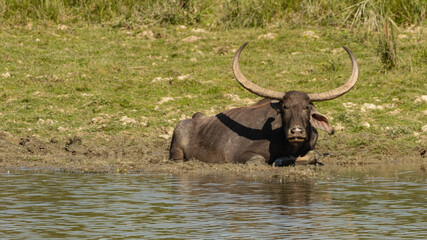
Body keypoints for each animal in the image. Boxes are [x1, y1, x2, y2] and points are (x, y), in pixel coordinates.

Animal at [170, 42, 358, 166]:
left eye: (306, 107)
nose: (296, 131)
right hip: (176, 153)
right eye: (284, 107)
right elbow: (260, 160)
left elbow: (313, 155)